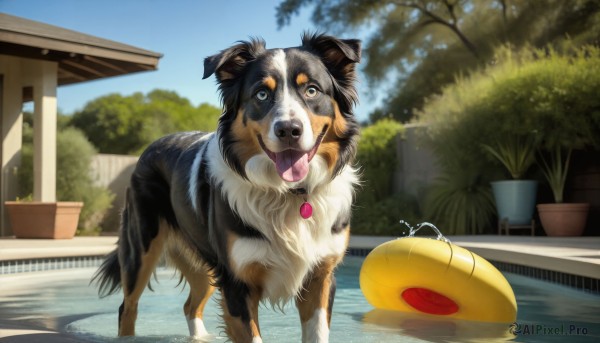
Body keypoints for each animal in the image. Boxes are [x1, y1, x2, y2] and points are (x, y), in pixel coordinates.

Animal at [95, 33, 360, 343]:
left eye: (312, 90)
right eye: (261, 94)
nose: (288, 130)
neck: (287, 194)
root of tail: (152, 146)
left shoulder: (321, 276)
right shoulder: (236, 282)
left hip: (205, 265)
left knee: (190, 305)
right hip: (141, 249)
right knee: (127, 307)